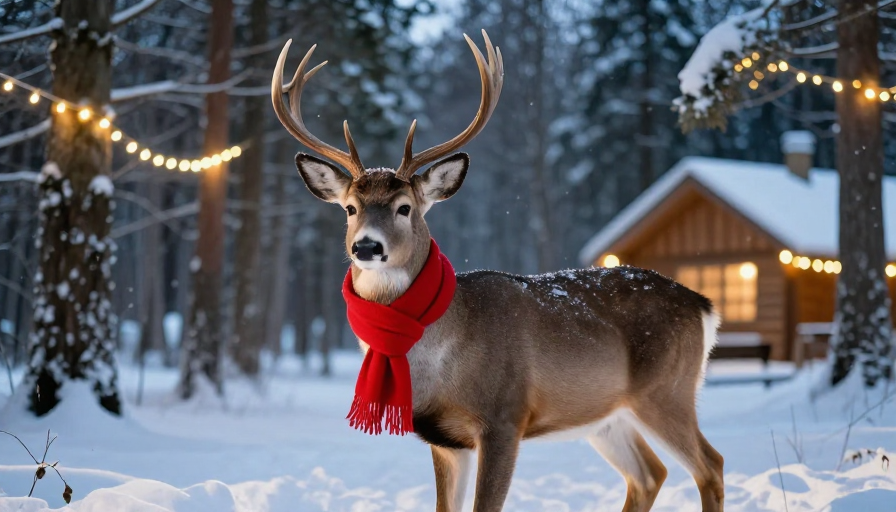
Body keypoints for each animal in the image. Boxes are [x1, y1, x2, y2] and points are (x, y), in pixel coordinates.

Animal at [271, 30, 725, 512]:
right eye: (350, 209)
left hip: (667, 390)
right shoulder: (445, 439)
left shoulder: (505, 417)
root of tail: (702, 304)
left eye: (404, 208)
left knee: (709, 465)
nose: (367, 246)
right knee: (649, 473)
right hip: (606, 416)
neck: (441, 355)